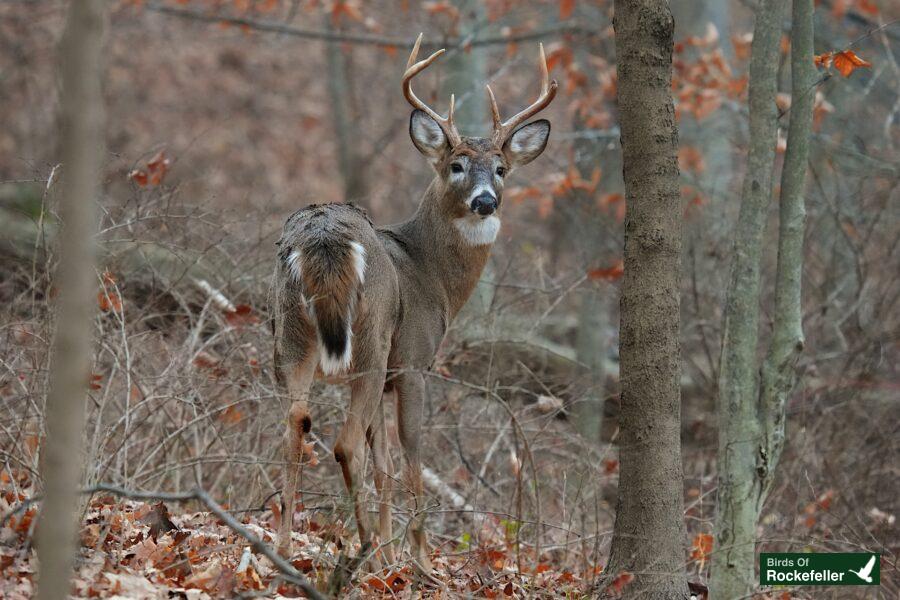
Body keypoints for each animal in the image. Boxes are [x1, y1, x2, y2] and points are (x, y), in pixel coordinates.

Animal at [268, 34, 556, 572]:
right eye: (455, 165)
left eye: (502, 169)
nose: (485, 200)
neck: (431, 277)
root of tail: (322, 239)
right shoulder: (413, 361)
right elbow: (411, 459)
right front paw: (418, 559)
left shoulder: (386, 379)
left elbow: (384, 464)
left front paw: (389, 554)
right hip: (372, 338)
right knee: (344, 442)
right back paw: (357, 551)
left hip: (291, 334)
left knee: (294, 426)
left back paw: (284, 549)